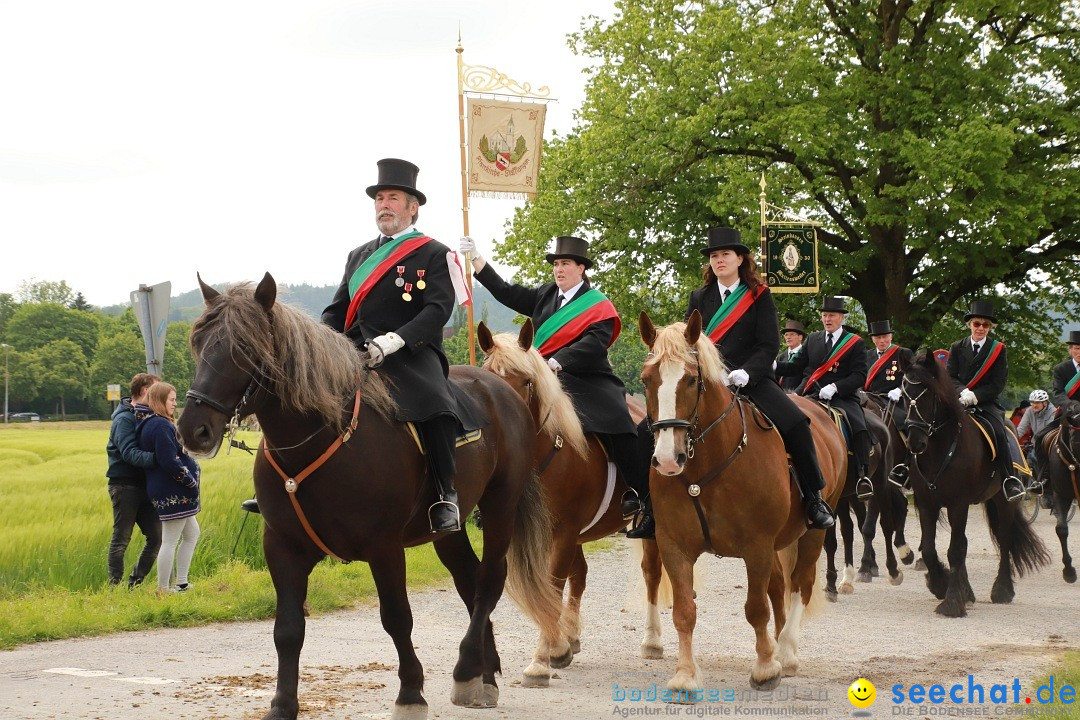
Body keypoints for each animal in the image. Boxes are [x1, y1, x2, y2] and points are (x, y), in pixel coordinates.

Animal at [174, 273, 565, 716]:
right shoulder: (282, 547)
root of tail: (503, 389)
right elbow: (287, 629)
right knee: (469, 579)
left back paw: (467, 668)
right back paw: (483, 674)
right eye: (199, 342)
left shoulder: (384, 547)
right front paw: (283, 704)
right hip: (449, 527)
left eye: (243, 347)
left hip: (500, 505)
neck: (319, 438)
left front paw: (410, 693)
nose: (193, 430)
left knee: (489, 579)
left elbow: (396, 617)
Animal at [635, 313, 846, 695]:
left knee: (801, 583)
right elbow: (684, 610)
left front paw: (764, 669)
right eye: (647, 380)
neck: (705, 467)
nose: (668, 460)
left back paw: (786, 653)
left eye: (691, 379)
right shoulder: (674, 545)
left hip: (813, 532)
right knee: (779, 585)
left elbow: (755, 608)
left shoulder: (757, 546)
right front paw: (685, 676)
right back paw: (777, 645)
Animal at [898, 345, 1049, 617]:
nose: (915, 443)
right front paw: (941, 585)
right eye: (905, 394)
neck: (940, 449)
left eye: (929, 394)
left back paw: (1002, 590)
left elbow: (955, 550)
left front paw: (951, 602)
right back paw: (967, 591)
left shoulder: (958, 504)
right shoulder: (926, 503)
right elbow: (930, 548)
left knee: (1004, 539)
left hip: (1004, 500)